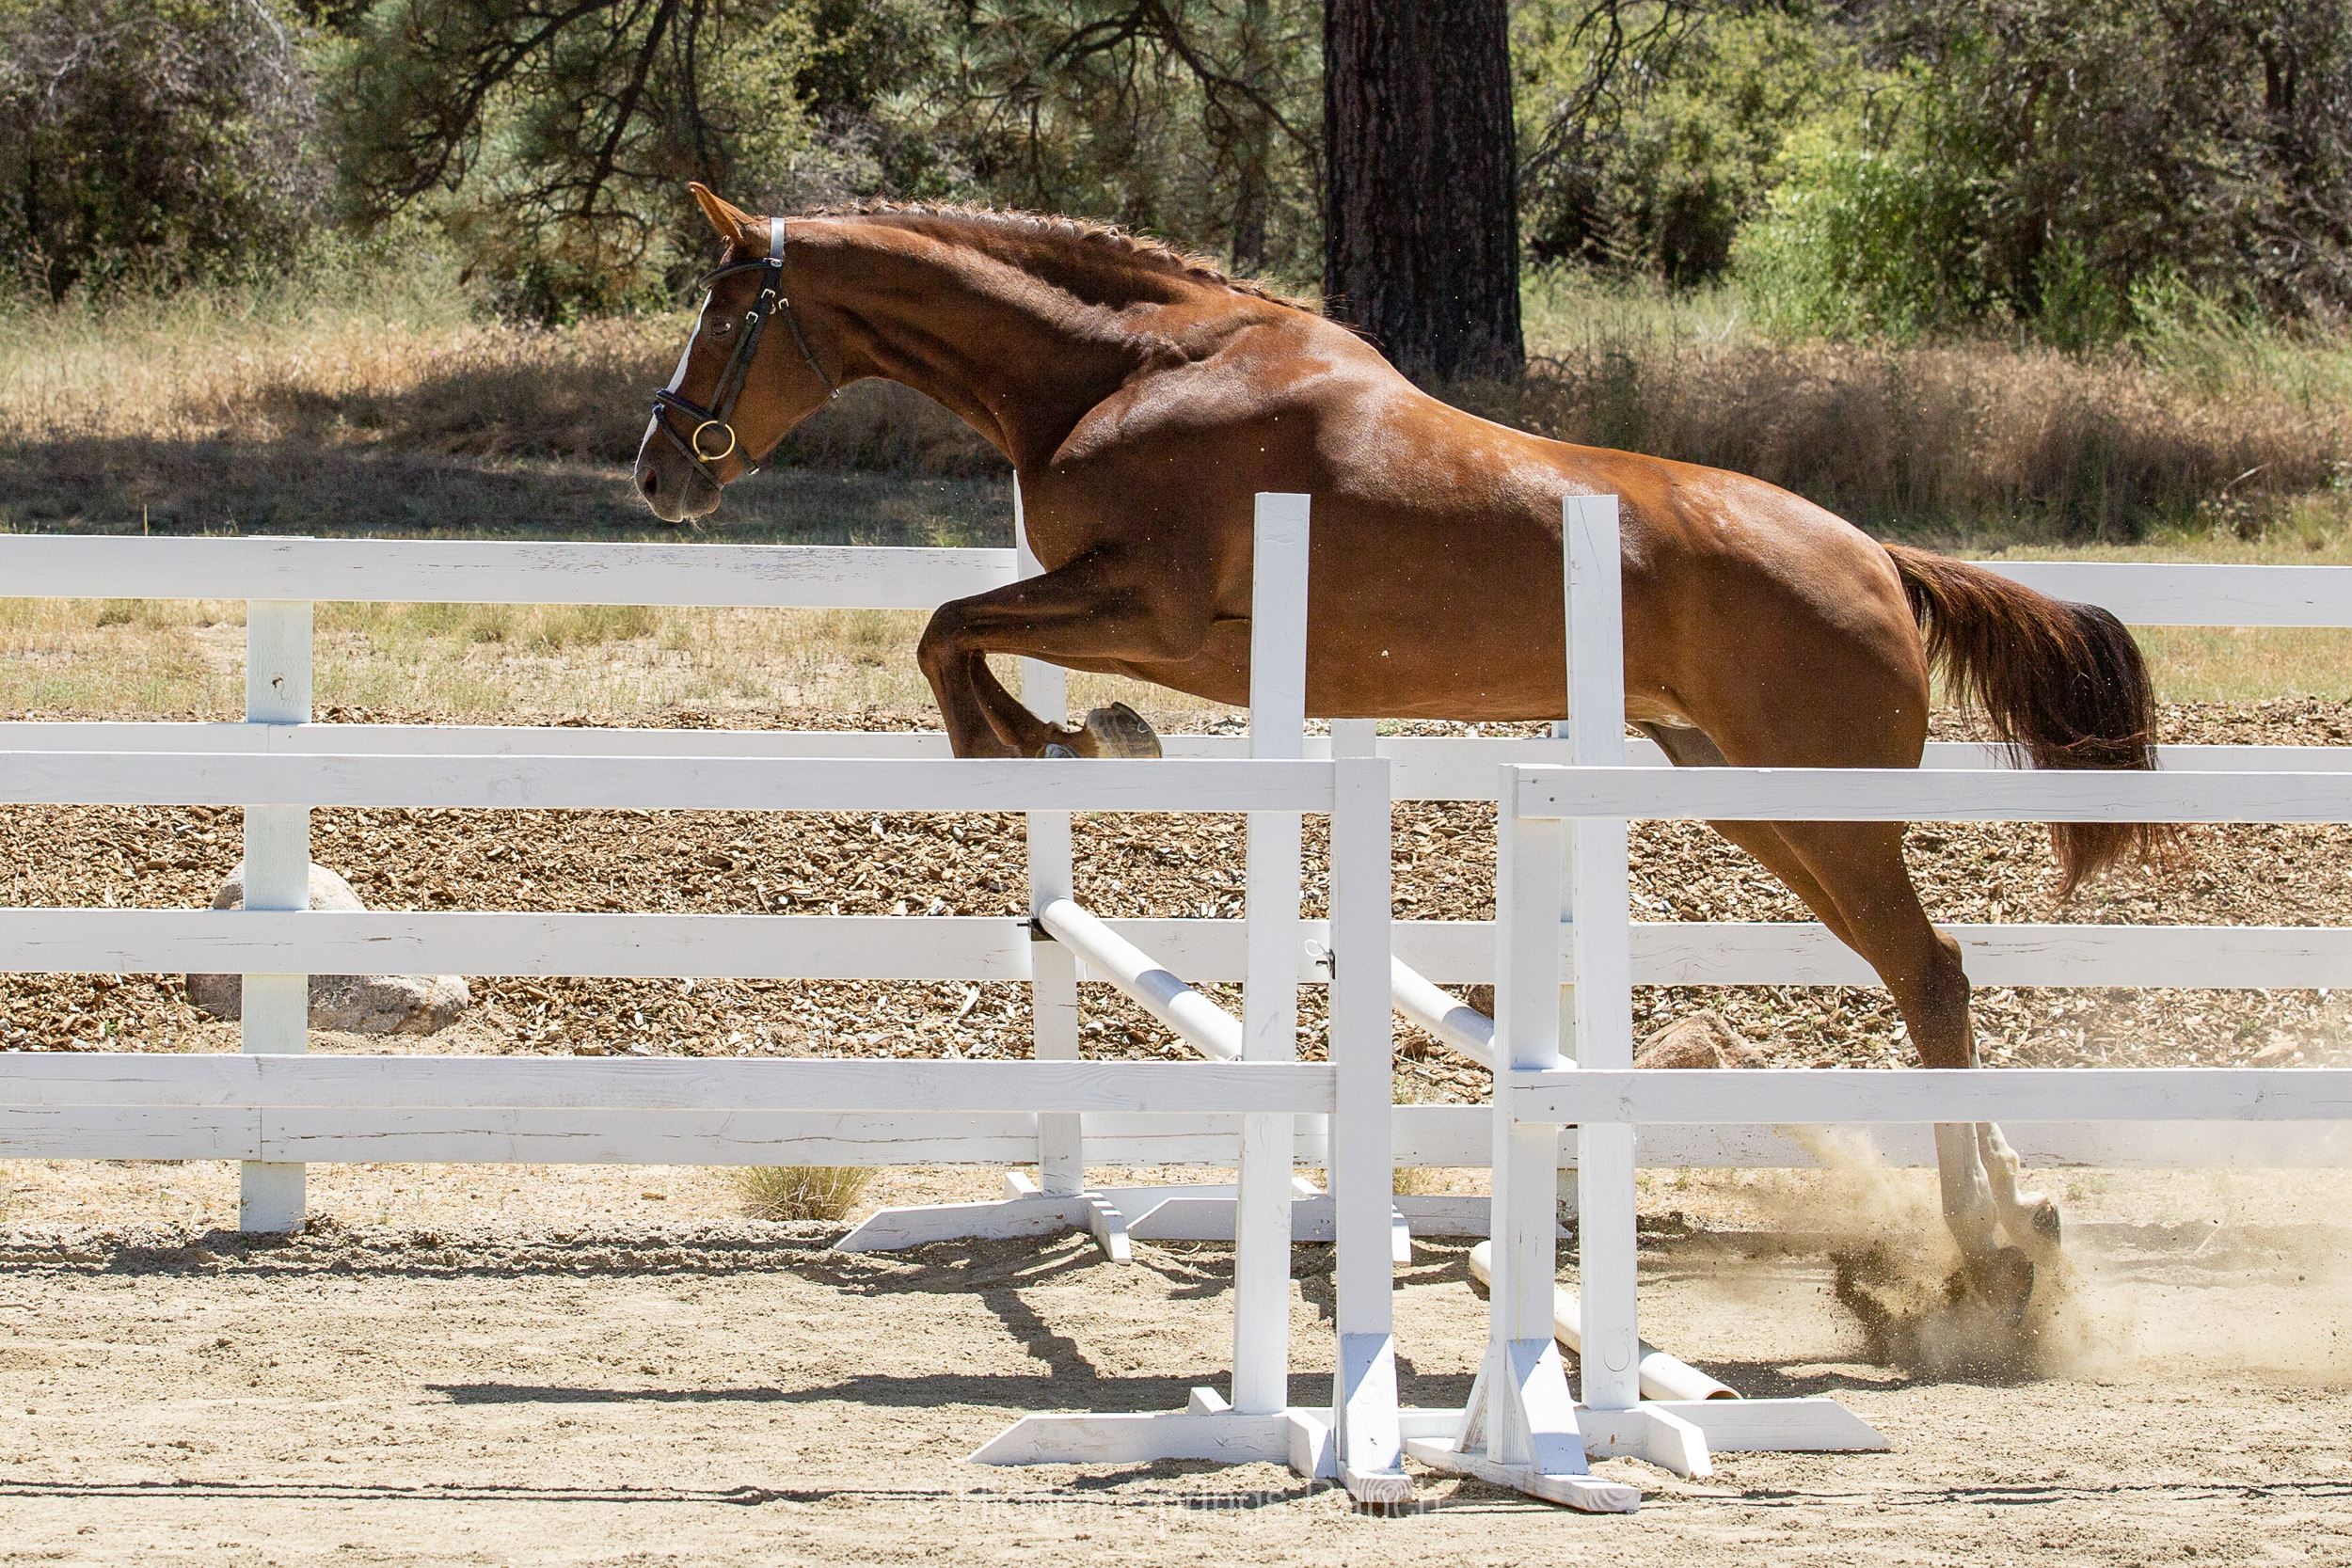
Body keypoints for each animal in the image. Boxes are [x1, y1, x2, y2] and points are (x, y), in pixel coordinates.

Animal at [635, 184, 2154, 1297]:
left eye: (719, 311)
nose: (658, 473)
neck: (1128, 368)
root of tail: (1881, 558)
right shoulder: (1149, 620)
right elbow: (960, 630)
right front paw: (1076, 739)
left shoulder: (1161, 614)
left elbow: (951, 630)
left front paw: (1068, 744)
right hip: (1750, 799)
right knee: (1915, 971)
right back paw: (2026, 1210)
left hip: (1823, 802)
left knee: (1934, 972)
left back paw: (1985, 1256)